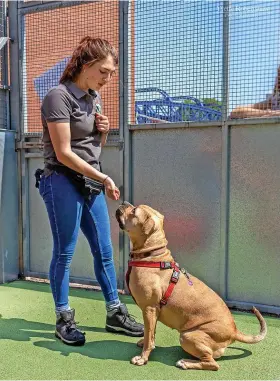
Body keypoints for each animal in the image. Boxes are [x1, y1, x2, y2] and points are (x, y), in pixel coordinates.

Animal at [115, 202, 266, 372]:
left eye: (134, 211)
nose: (124, 203)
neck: (152, 255)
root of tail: (234, 331)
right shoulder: (153, 312)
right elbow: (151, 333)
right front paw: (146, 344)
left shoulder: (149, 309)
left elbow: (149, 336)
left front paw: (143, 358)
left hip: (188, 336)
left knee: (212, 364)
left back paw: (185, 363)